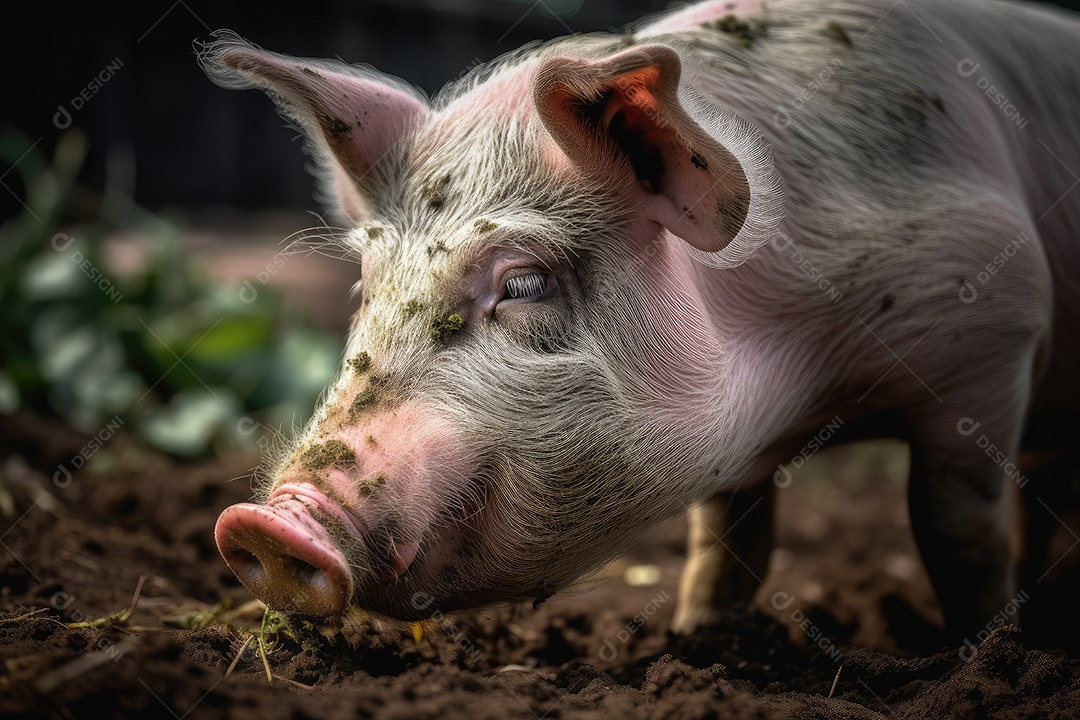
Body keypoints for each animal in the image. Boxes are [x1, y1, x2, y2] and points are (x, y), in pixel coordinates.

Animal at [202, 0, 1080, 641]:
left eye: (524, 283)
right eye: (365, 289)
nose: (266, 525)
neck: (808, 381)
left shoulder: (996, 340)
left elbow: (956, 527)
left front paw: (981, 654)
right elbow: (723, 541)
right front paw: (697, 638)